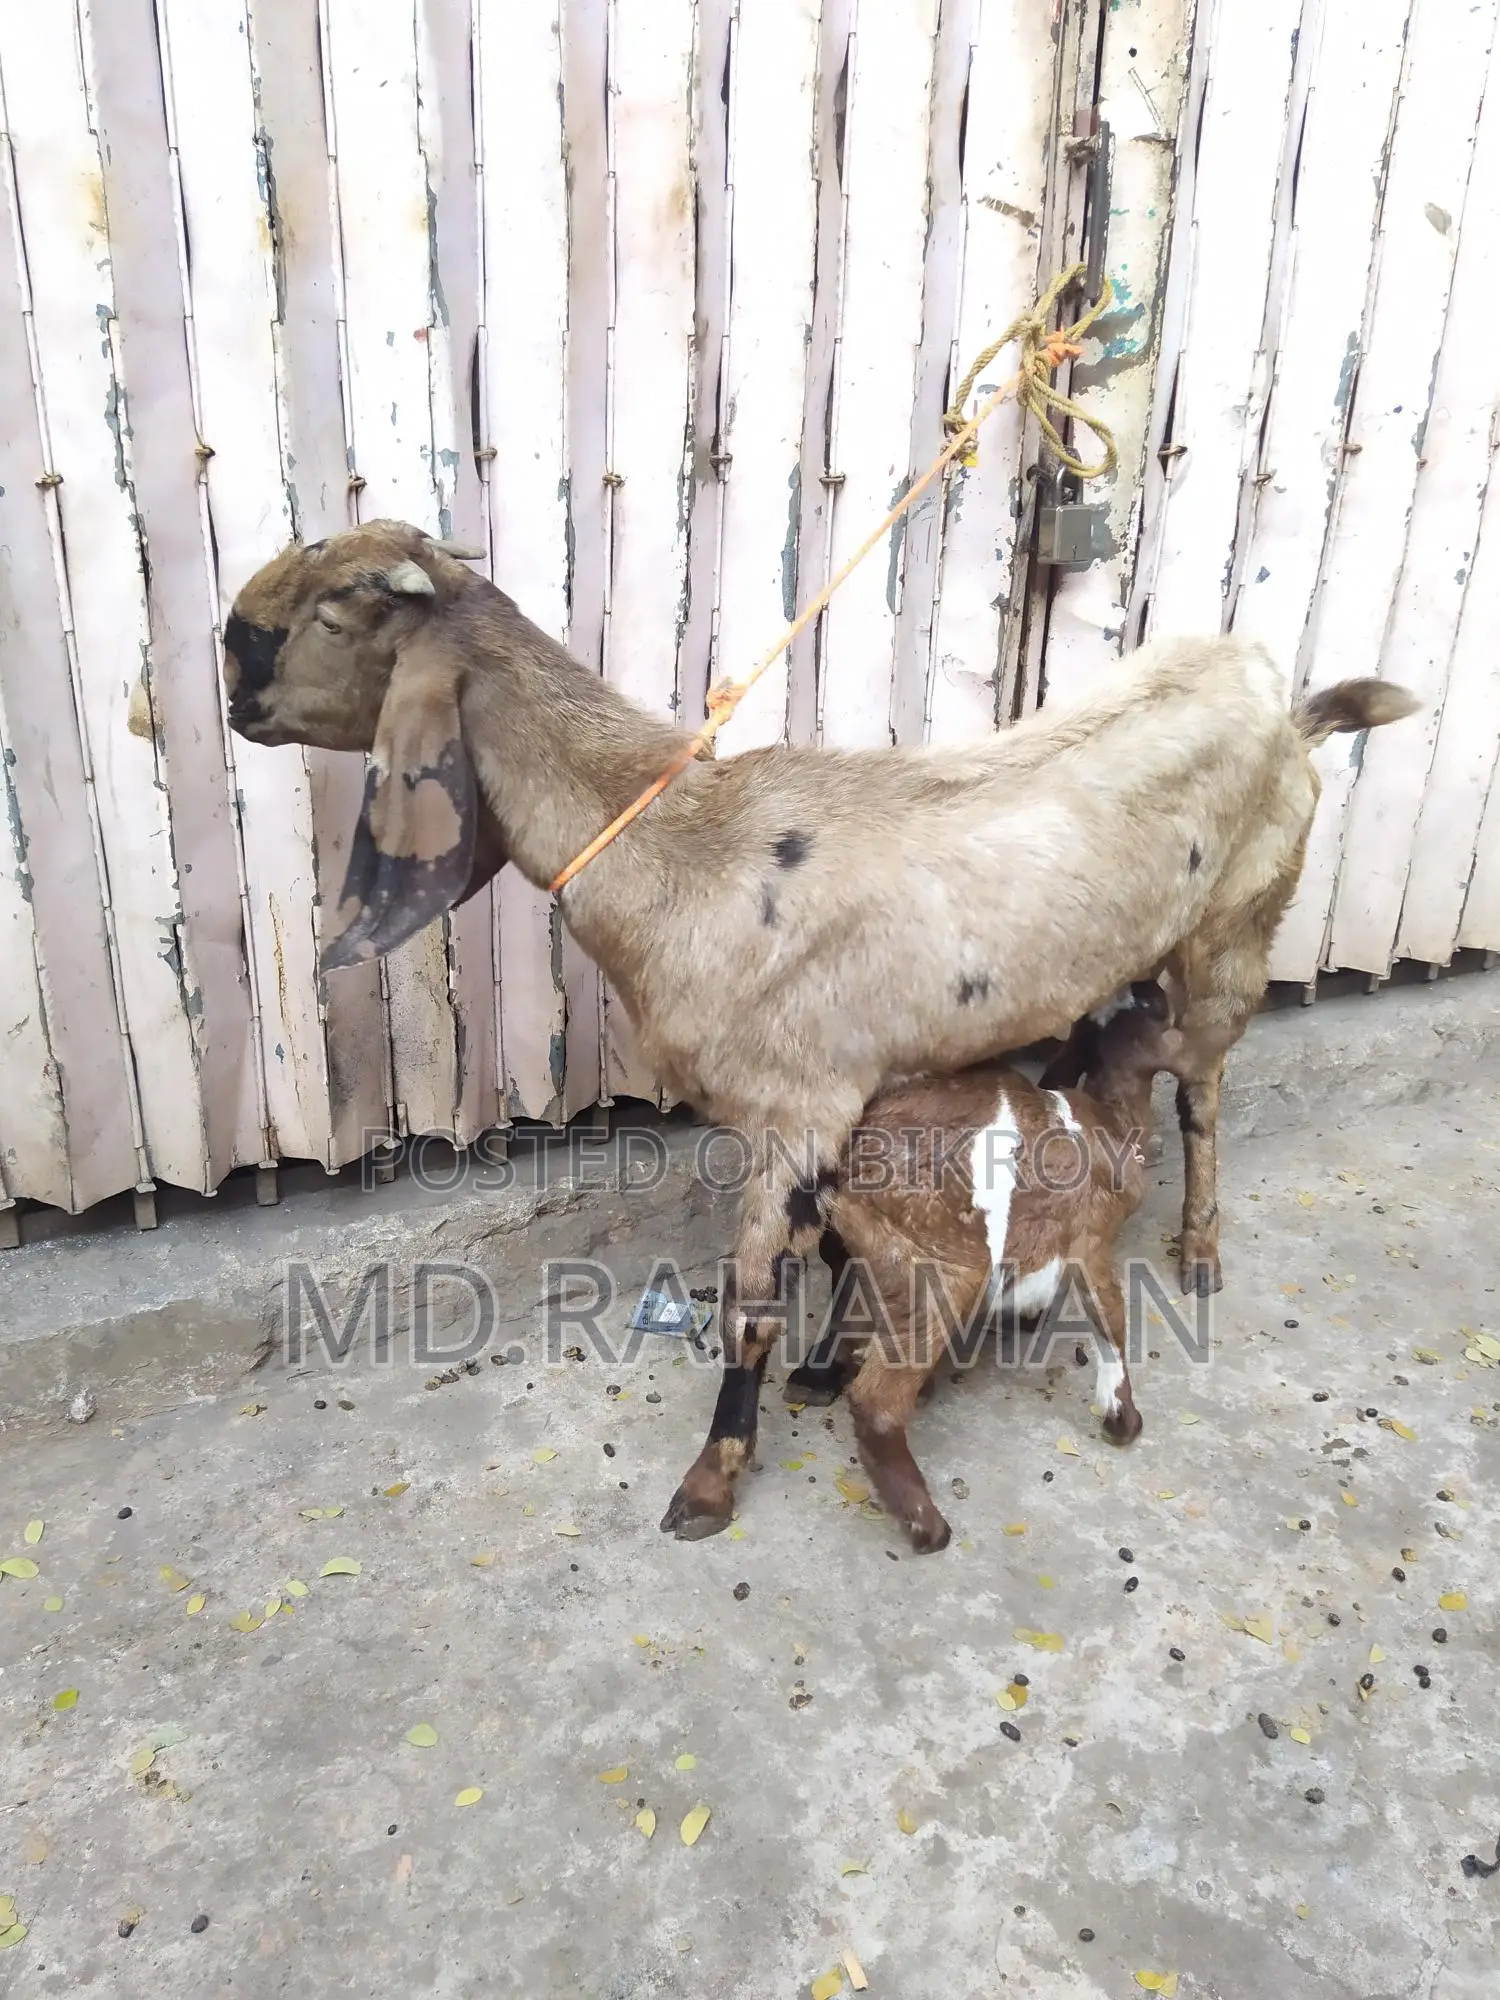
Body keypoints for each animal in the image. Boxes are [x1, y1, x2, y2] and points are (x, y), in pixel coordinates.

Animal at [791, 978, 1180, 1551]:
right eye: (1156, 1010)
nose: (1149, 984)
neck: (1111, 1121)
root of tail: (848, 1167)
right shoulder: (1090, 1240)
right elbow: (1111, 1321)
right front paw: (1123, 1421)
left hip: (885, 1254)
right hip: (946, 1264)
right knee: (877, 1400)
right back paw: (928, 1527)